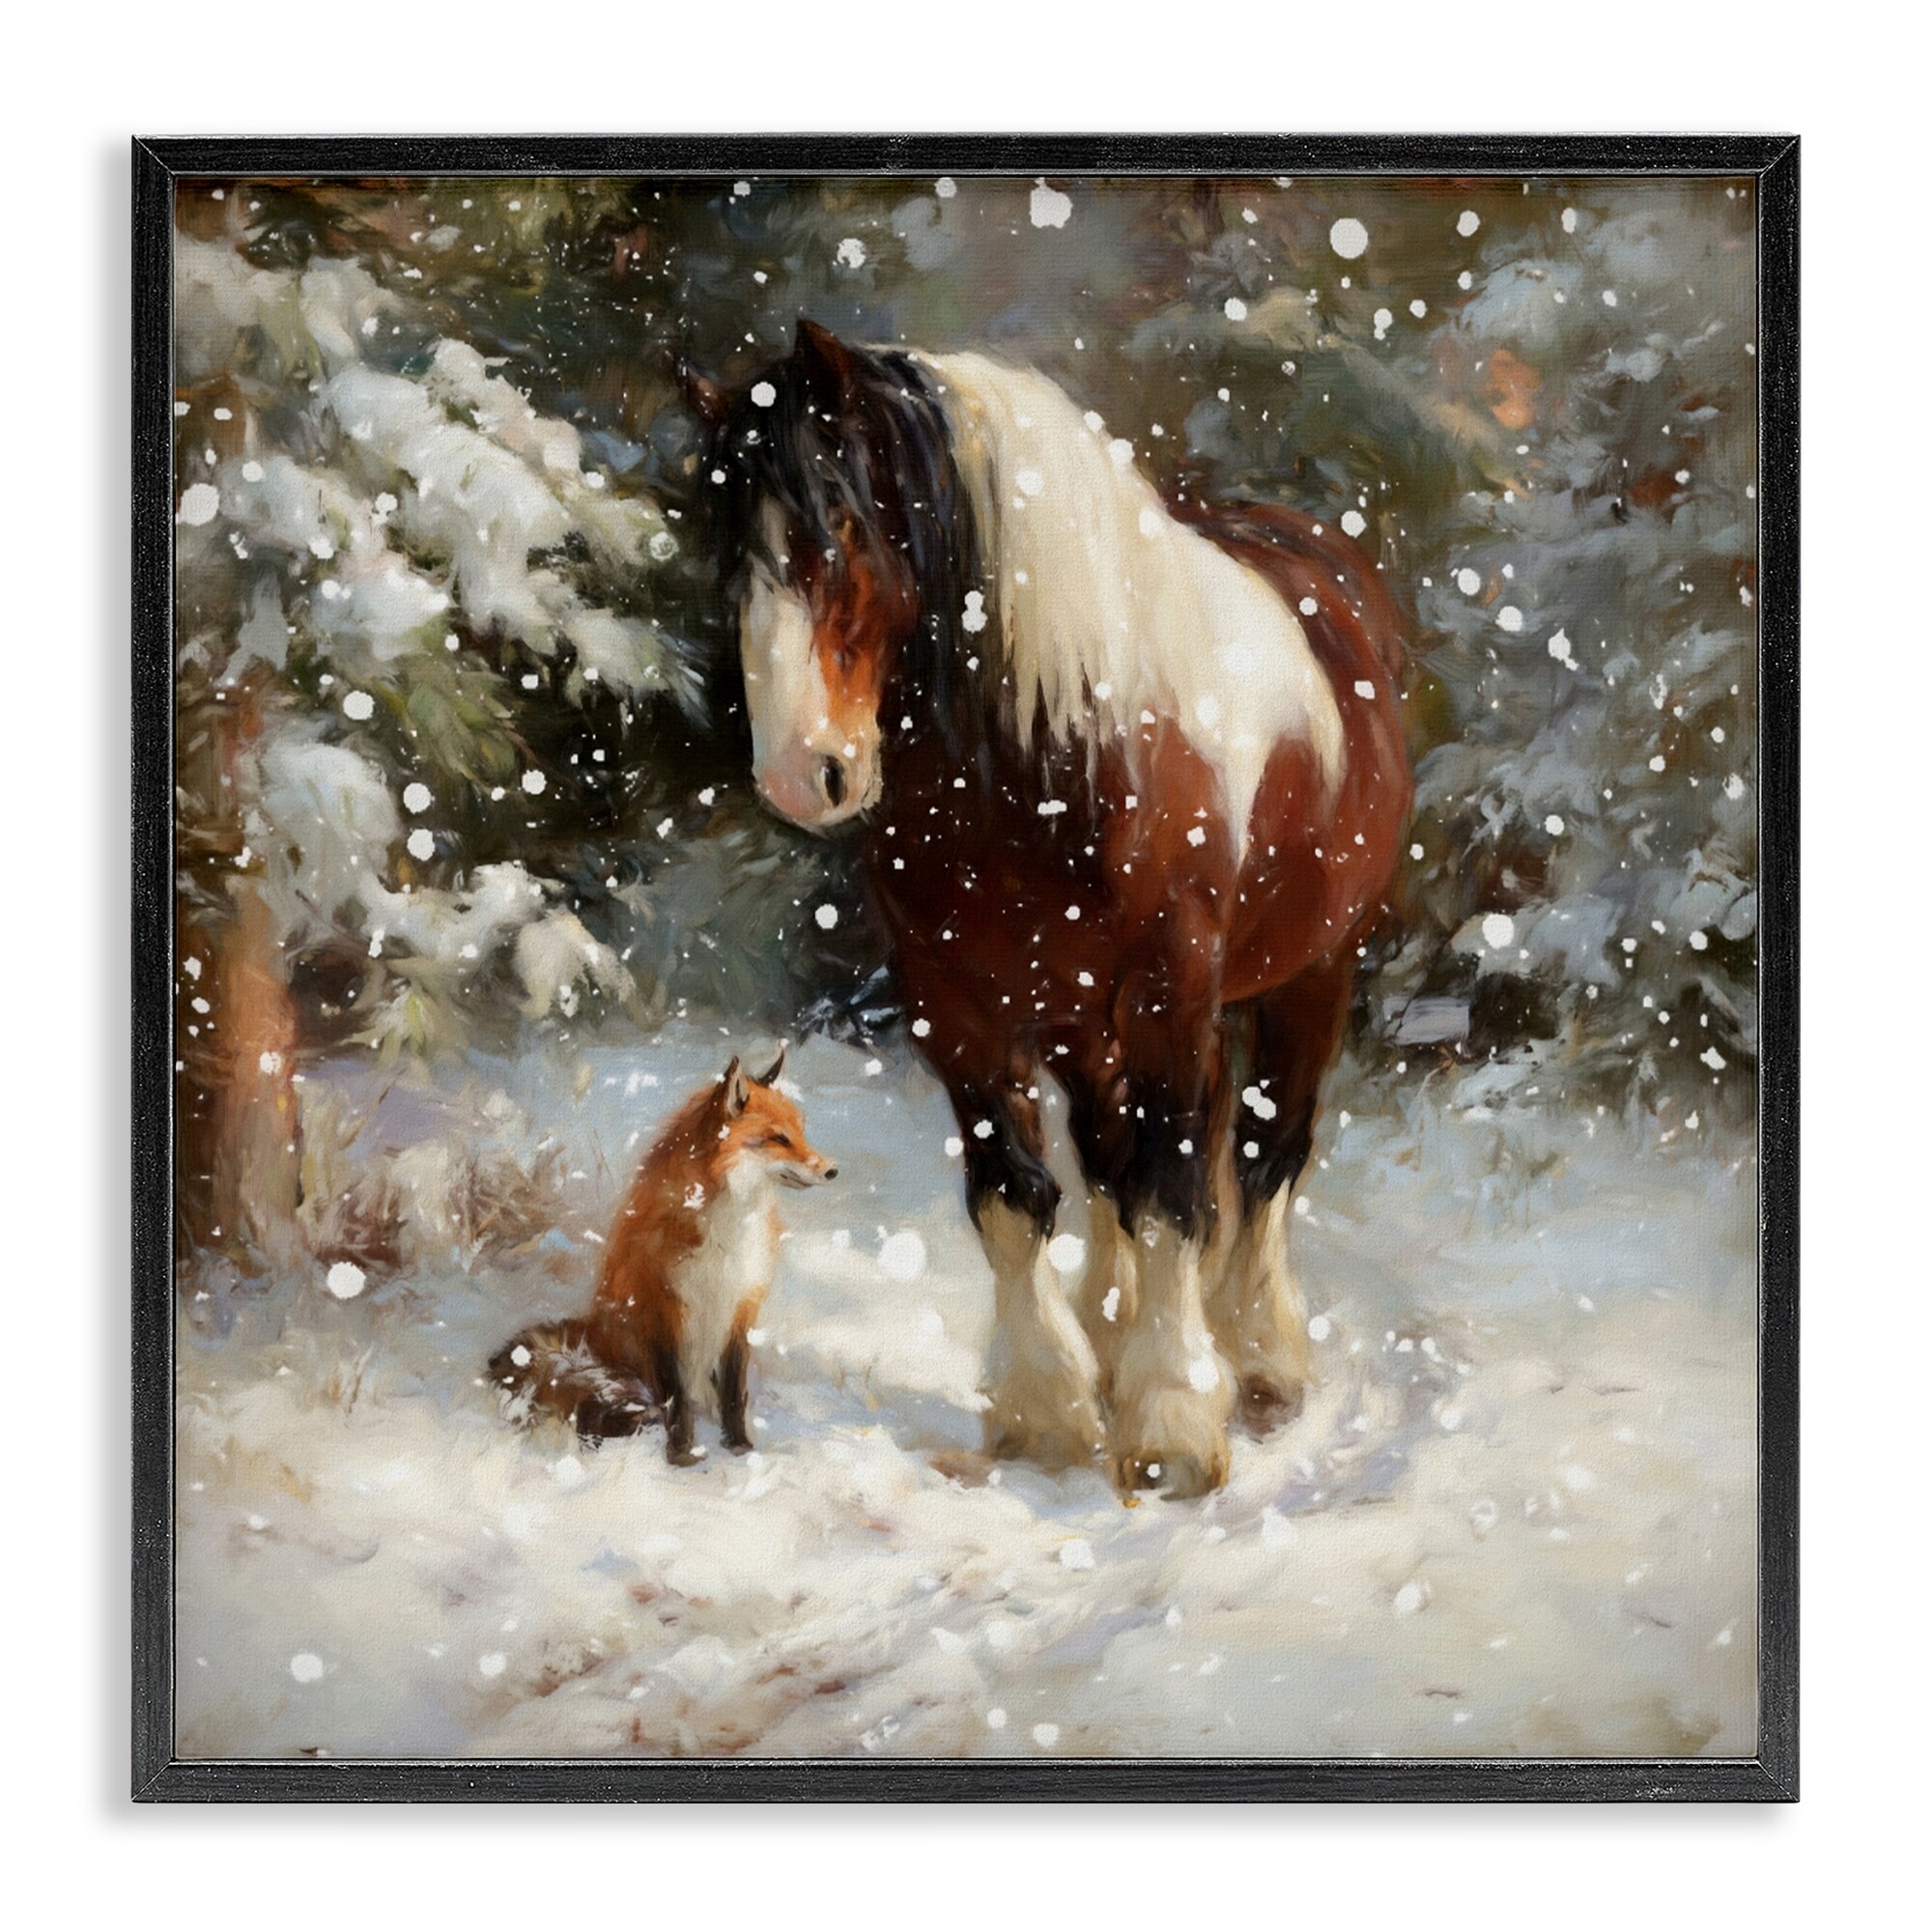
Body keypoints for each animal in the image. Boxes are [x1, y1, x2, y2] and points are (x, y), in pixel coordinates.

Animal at [489, 1048, 836, 1464]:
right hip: (624, 1365)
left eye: (800, 1132)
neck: (726, 1229)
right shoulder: (664, 1310)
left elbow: (734, 1392)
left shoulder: (740, 1307)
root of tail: (591, 1333)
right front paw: (681, 1455)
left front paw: (739, 1446)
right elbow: (675, 1397)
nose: (832, 1170)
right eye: (778, 1138)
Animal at [686, 320, 1412, 1498]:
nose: (804, 774)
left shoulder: (1170, 996)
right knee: (1118, 1158)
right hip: (1085, 1017)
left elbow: (1174, 1187)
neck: (1057, 756)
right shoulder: (959, 1009)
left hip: (1312, 970)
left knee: (1265, 1152)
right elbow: (1017, 1195)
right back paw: (1116, 1340)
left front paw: (1171, 1427)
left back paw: (1258, 1361)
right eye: (729, 558)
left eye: (841, 525)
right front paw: (1050, 1414)